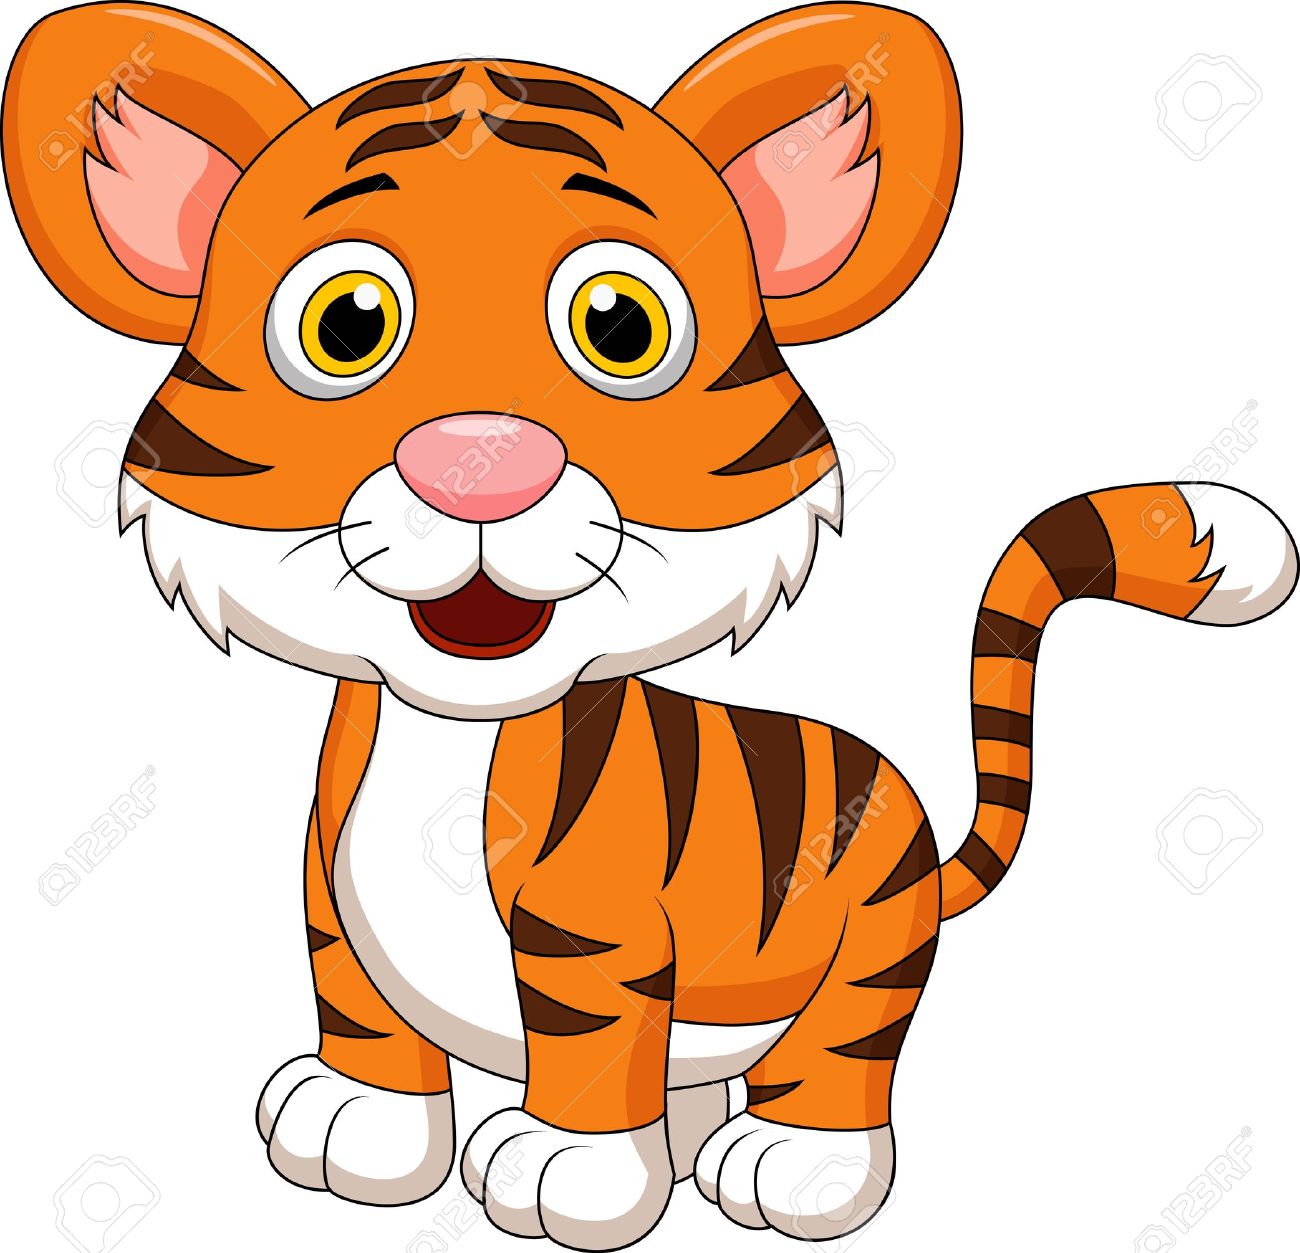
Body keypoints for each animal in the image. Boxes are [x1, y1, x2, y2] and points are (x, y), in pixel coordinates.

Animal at [4, 2, 1295, 1248]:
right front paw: (357, 1122)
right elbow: (355, 995)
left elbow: (585, 1044)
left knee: (838, 1059)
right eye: (348, 322)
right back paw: (679, 1148)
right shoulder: (331, 886)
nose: (482, 468)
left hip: (867, 954)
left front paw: (566, 1174)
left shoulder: (596, 930)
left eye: (619, 325)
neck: (451, 731)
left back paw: (791, 1168)